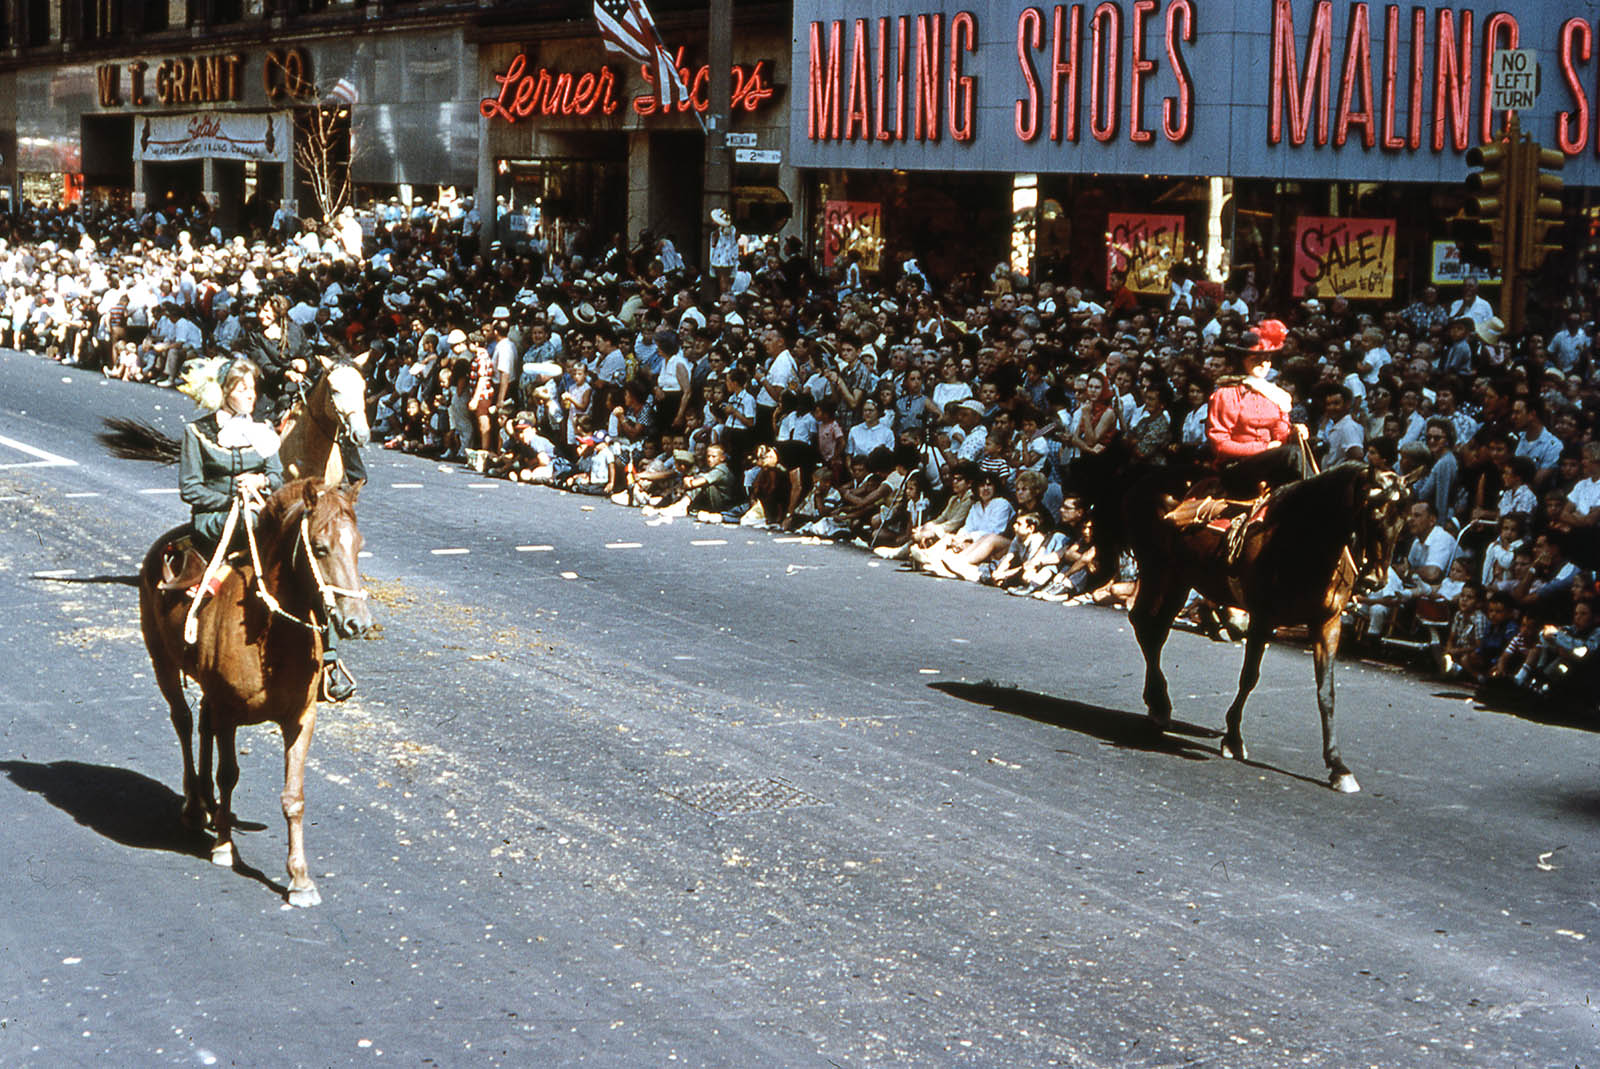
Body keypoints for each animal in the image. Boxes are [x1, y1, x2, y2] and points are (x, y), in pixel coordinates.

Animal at [138, 480, 371, 908]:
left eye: (359, 545)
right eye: (320, 547)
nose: (357, 622)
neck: (273, 633)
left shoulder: (300, 718)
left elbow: (293, 798)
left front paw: (299, 879)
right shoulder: (230, 711)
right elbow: (228, 773)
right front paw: (224, 846)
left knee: (202, 726)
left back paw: (209, 805)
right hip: (162, 662)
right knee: (183, 722)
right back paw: (196, 806)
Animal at [1088, 460, 1414, 793]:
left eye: (1404, 520)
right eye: (1374, 511)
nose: (1375, 579)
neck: (1303, 536)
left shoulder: (1327, 623)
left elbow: (1326, 692)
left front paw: (1337, 766)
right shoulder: (1262, 617)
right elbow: (1249, 678)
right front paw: (1233, 738)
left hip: (1180, 579)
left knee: (1154, 629)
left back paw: (1158, 703)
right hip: (1159, 571)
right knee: (1146, 626)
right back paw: (1159, 704)